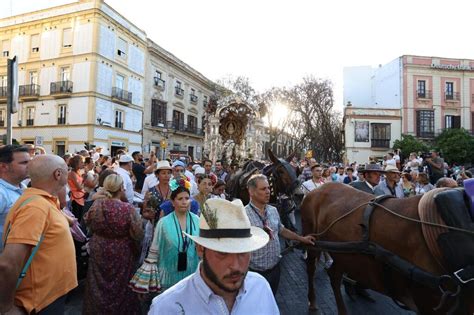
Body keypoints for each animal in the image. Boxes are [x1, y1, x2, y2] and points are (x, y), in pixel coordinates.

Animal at [302, 183, 472, 315]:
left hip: (344, 253)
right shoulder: (428, 302)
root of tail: (317, 189)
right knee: (310, 267)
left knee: (334, 275)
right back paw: (312, 301)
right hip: (311, 238)